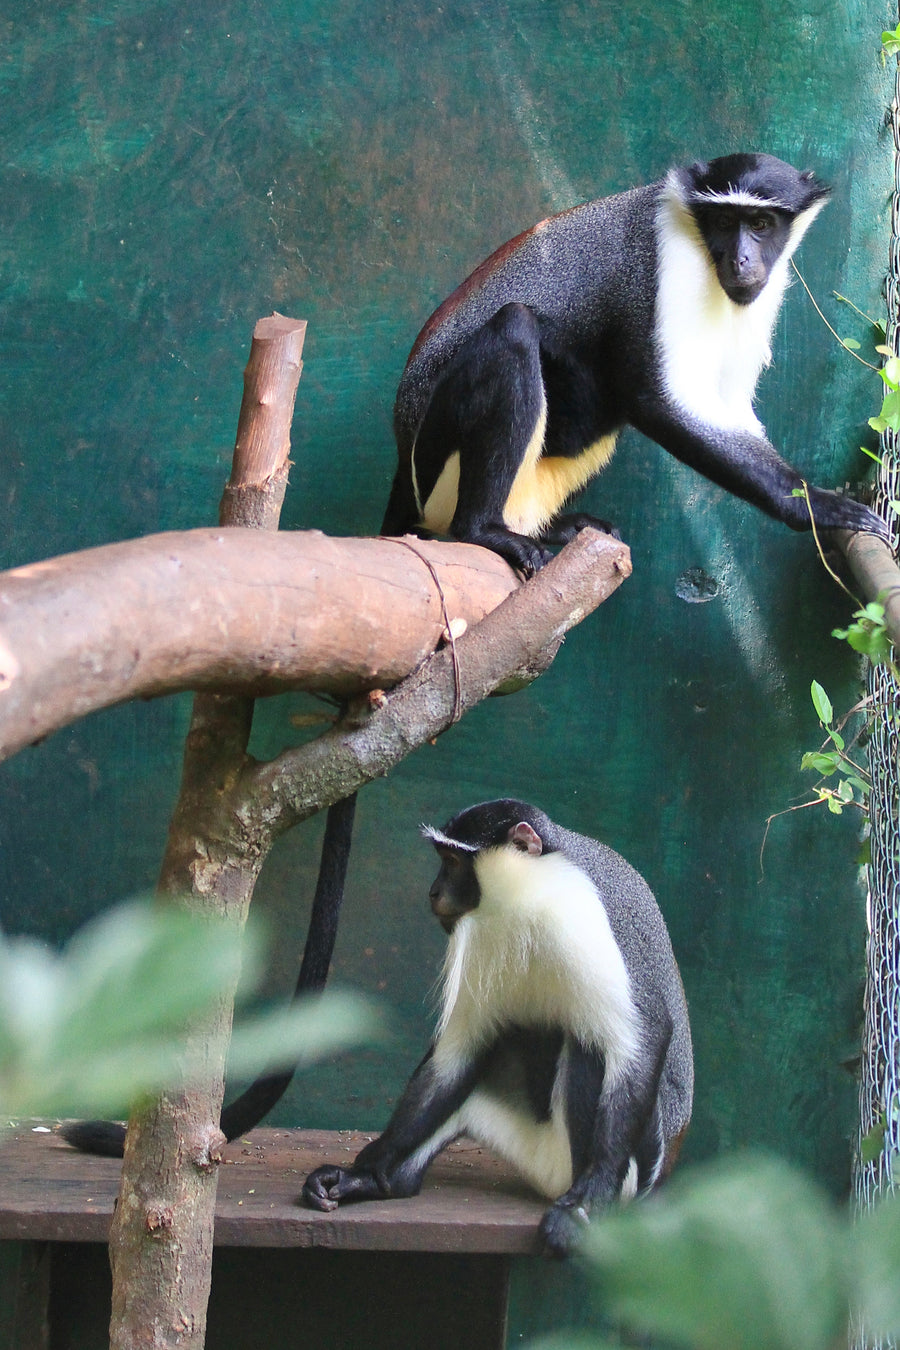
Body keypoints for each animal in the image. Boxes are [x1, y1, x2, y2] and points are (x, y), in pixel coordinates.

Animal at [302, 799, 693, 1258]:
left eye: (452, 861)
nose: (433, 891)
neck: (529, 895)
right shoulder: (482, 939)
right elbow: (459, 1054)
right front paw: (364, 1170)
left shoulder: (585, 918)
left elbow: (641, 1040)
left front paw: (585, 1208)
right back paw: (389, 1180)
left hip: (632, 1170)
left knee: (590, 1047)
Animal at [381, 153, 891, 576]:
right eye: (725, 220)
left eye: (762, 223)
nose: (742, 258)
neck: (697, 236)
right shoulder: (668, 264)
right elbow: (657, 399)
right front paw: (813, 506)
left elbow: (729, 405)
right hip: (441, 471)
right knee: (515, 329)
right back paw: (484, 530)